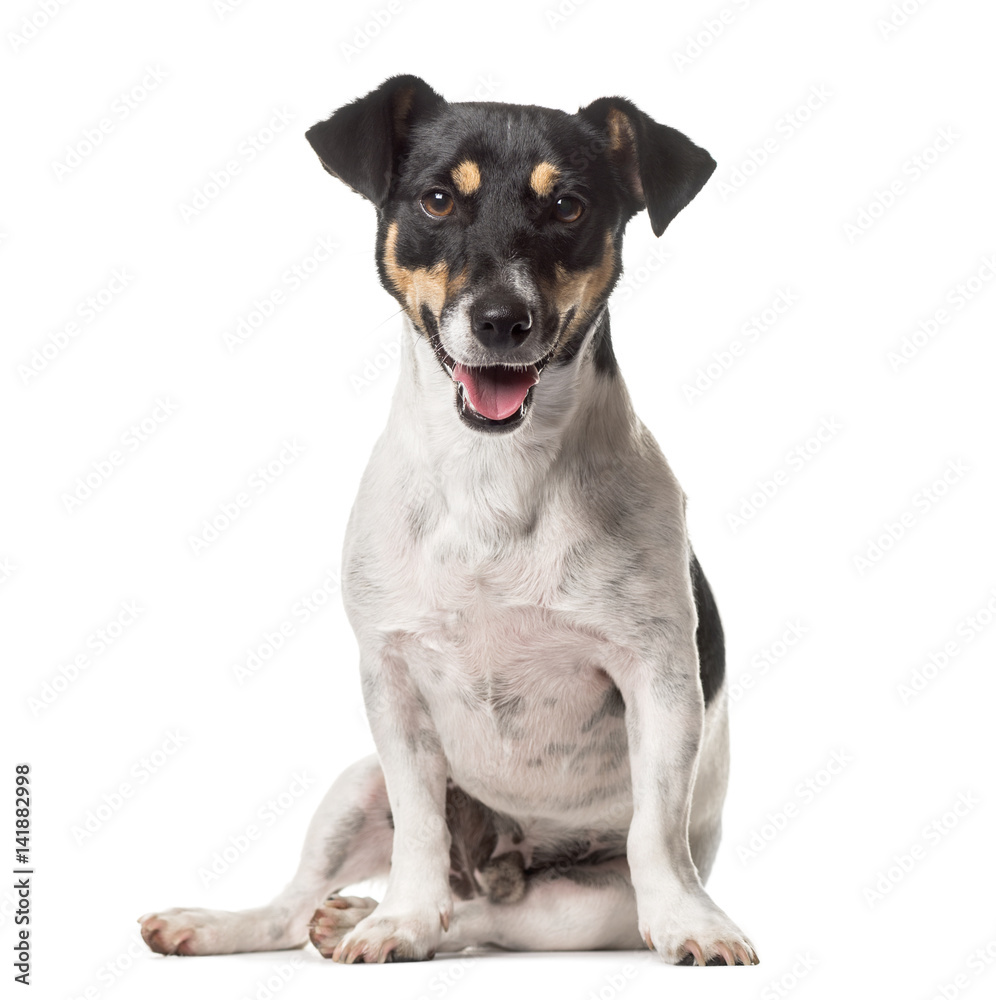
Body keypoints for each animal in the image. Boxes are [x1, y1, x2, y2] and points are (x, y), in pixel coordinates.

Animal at [140, 74, 760, 964]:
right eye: (437, 199)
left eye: (568, 206)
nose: (502, 320)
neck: (492, 475)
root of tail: (498, 865)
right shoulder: (391, 680)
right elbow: (420, 828)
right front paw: (399, 916)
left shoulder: (660, 677)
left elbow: (656, 831)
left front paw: (690, 922)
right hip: (354, 787)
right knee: (301, 903)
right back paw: (253, 921)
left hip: (579, 909)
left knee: (490, 920)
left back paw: (373, 918)